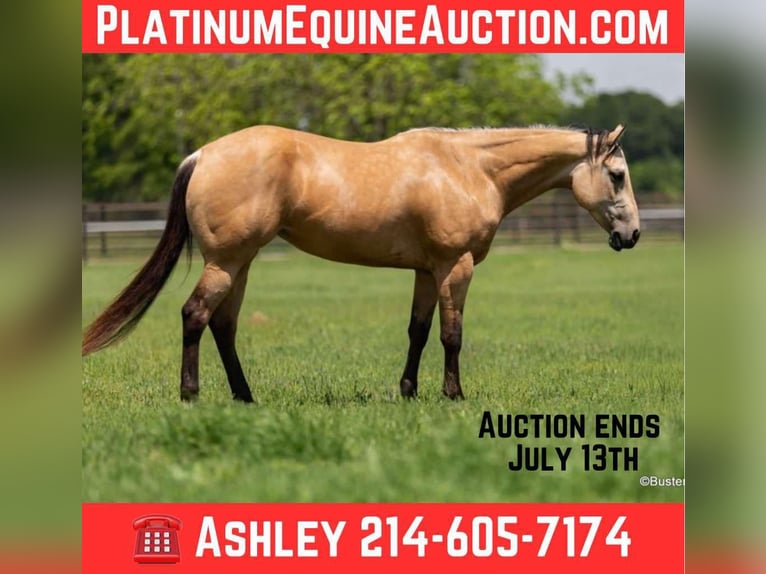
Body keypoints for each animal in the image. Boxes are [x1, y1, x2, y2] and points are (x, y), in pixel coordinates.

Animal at [82, 124, 640, 402]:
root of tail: (202, 154)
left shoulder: (426, 270)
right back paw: (191, 395)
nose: (632, 235)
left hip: (239, 264)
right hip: (227, 261)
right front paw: (454, 394)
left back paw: (245, 397)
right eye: (616, 175)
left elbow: (418, 331)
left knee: (223, 325)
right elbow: (451, 335)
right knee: (195, 316)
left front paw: (409, 392)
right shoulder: (455, 266)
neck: (469, 168)